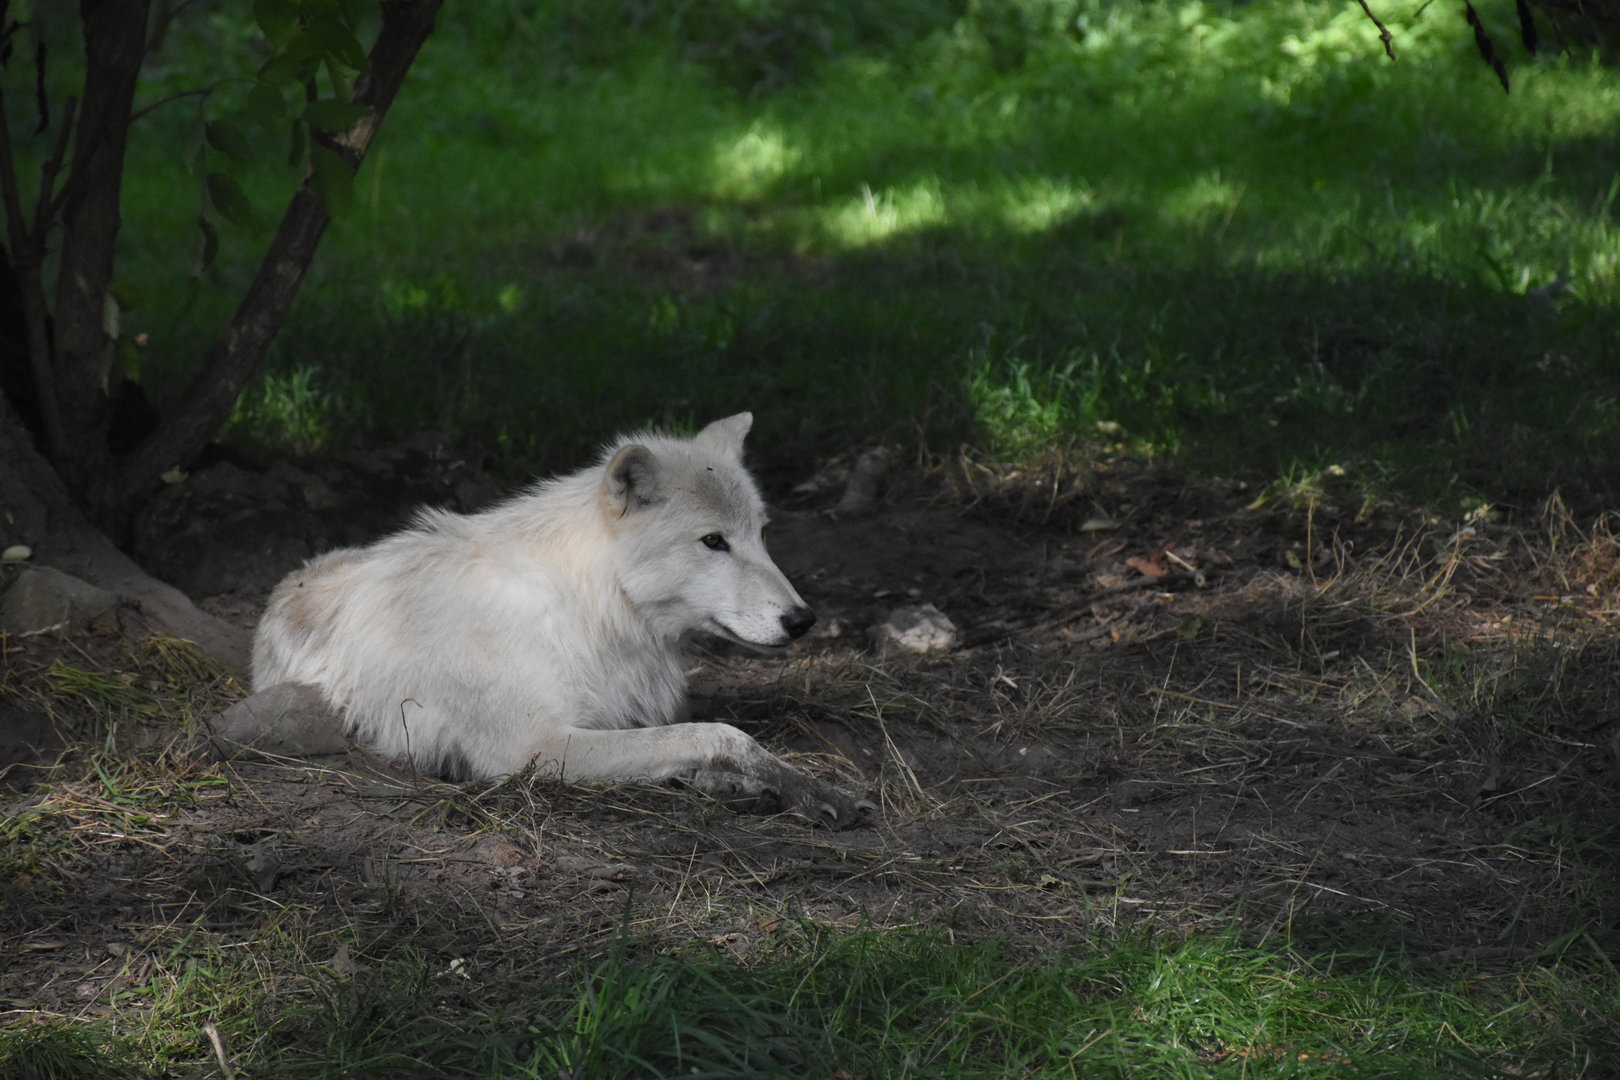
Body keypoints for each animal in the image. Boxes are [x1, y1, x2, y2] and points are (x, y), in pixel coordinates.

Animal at [250, 413, 867, 825]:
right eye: (713, 542)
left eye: (761, 536)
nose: (803, 619)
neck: (585, 605)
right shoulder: (535, 747)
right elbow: (721, 734)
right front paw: (811, 791)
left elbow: (697, 742)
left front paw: (777, 788)